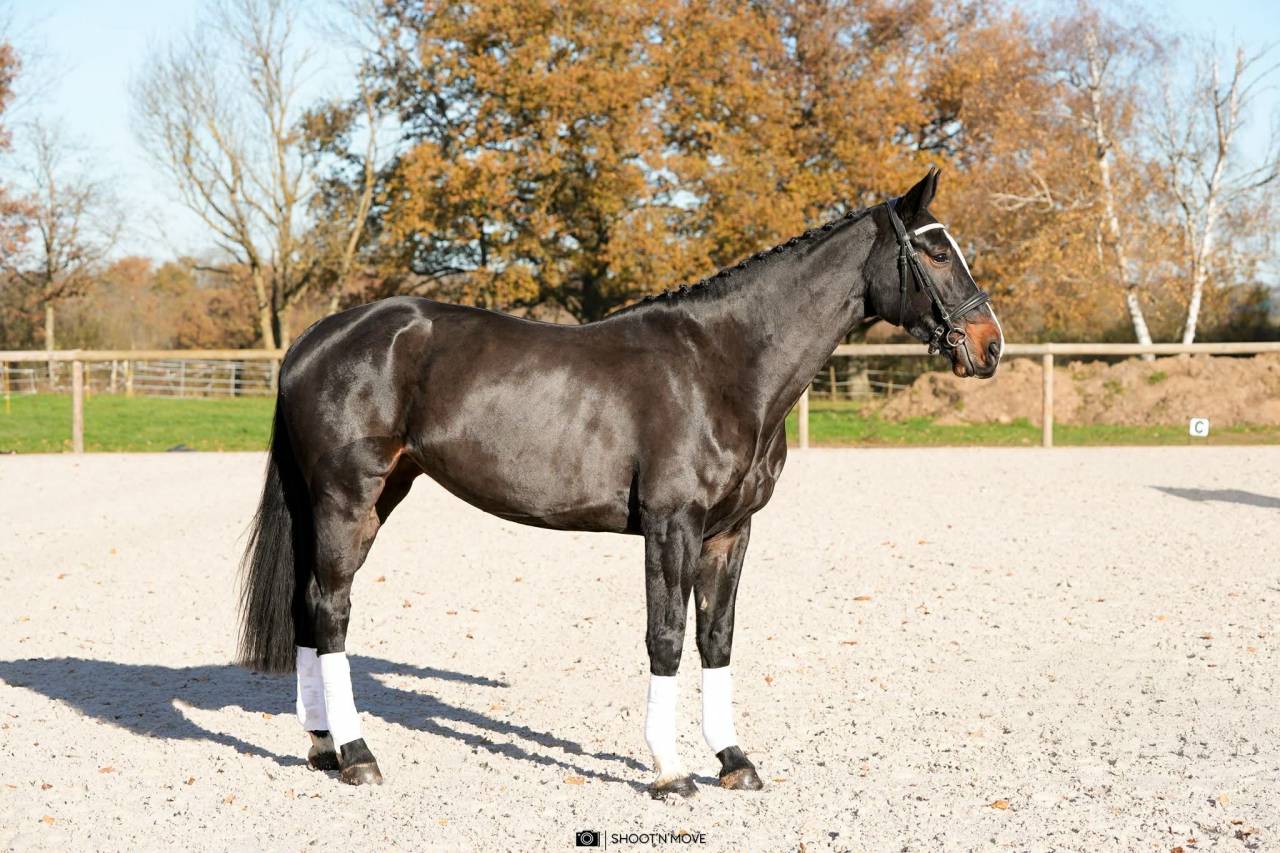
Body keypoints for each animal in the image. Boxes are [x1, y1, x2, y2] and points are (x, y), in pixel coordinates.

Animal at [236, 167, 1003, 797]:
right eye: (936, 252)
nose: (989, 344)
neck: (723, 364)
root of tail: (314, 341)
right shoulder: (672, 524)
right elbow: (665, 636)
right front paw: (669, 771)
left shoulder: (730, 531)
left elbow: (716, 638)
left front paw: (733, 760)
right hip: (346, 497)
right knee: (331, 610)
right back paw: (359, 755)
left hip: (367, 496)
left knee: (309, 606)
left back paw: (323, 748)